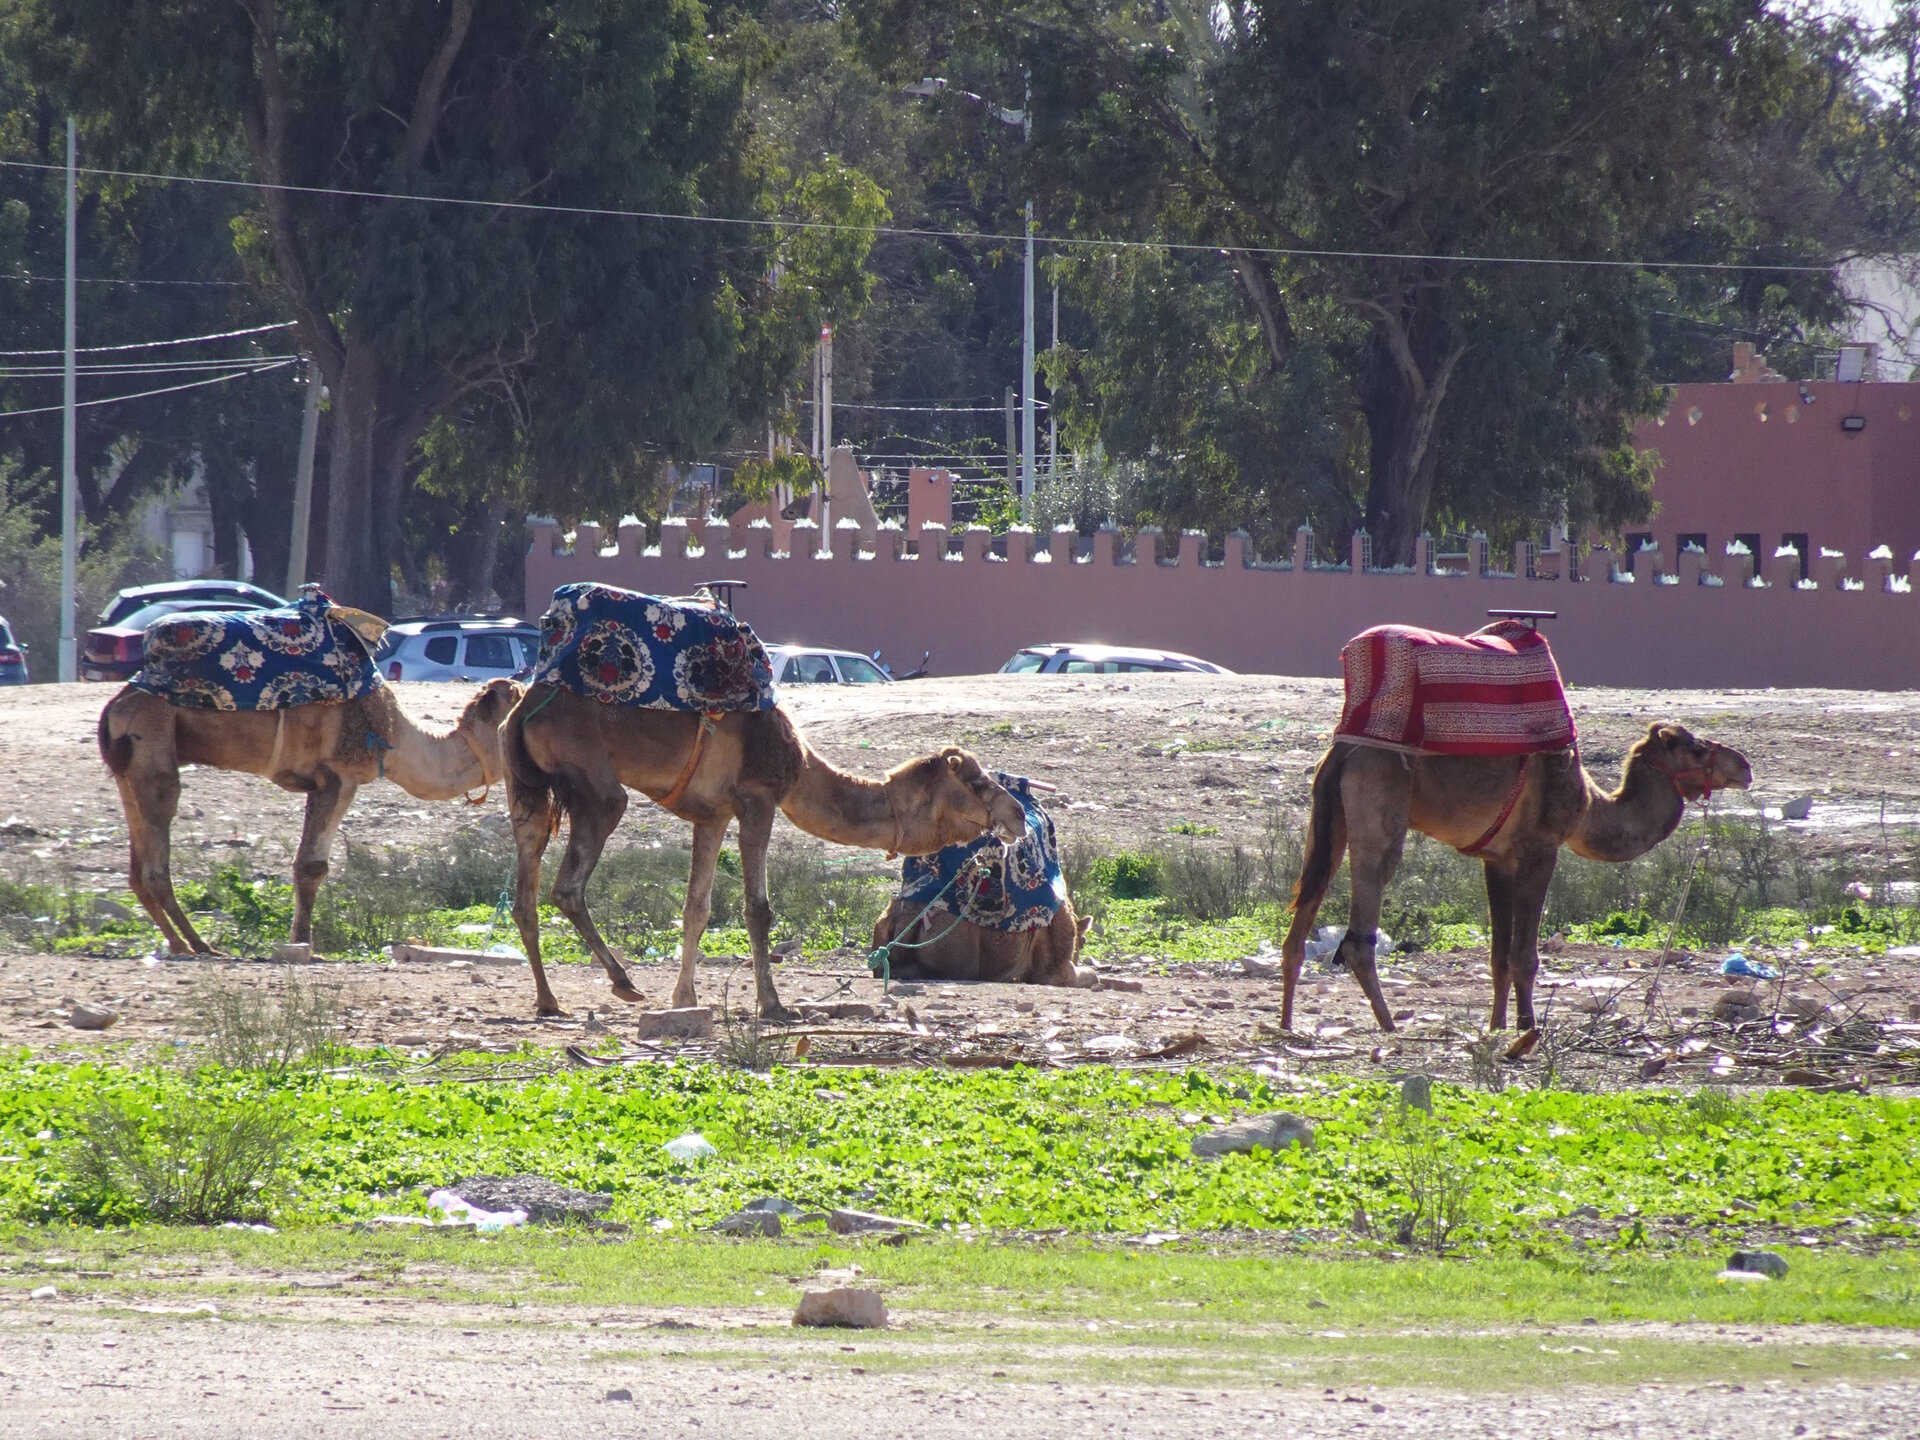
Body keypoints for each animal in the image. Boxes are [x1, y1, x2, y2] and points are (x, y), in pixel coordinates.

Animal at [99, 679, 520, 955]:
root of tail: (115, 705)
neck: (395, 737)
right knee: (157, 850)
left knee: (136, 867)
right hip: (153, 750)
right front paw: (302, 942)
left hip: (130, 769)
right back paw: (200, 945)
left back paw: (179, 942)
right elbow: (311, 866)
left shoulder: (318, 783)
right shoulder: (338, 777)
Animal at [502, 688, 1027, 1020]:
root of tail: (524, 706)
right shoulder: (757, 800)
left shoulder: (712, 815)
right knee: (568, 886)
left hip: (523, 788)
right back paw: (623, 982)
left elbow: (696, 909)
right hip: (595, 784)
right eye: (977, 782)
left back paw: (549, 1001)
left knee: (525, 895)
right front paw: (773, 1006)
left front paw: (684, 998)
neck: (799, 765)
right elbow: (758, 910)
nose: (1019, 814)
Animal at [1280, 722, 1751, 1035]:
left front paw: (1497, 1025)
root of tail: (1344, 752)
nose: (1744, 766)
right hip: (1378, 805)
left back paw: (1286, 1023)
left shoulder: (1498, 860)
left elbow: (1499, 956)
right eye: (1694, 748)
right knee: (1364, 915)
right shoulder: (1540, 849)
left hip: (1327, 814)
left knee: (1304, 911)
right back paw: (1389, 1025)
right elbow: (1525, 954)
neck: (1588, 806)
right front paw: (1527, 1028)